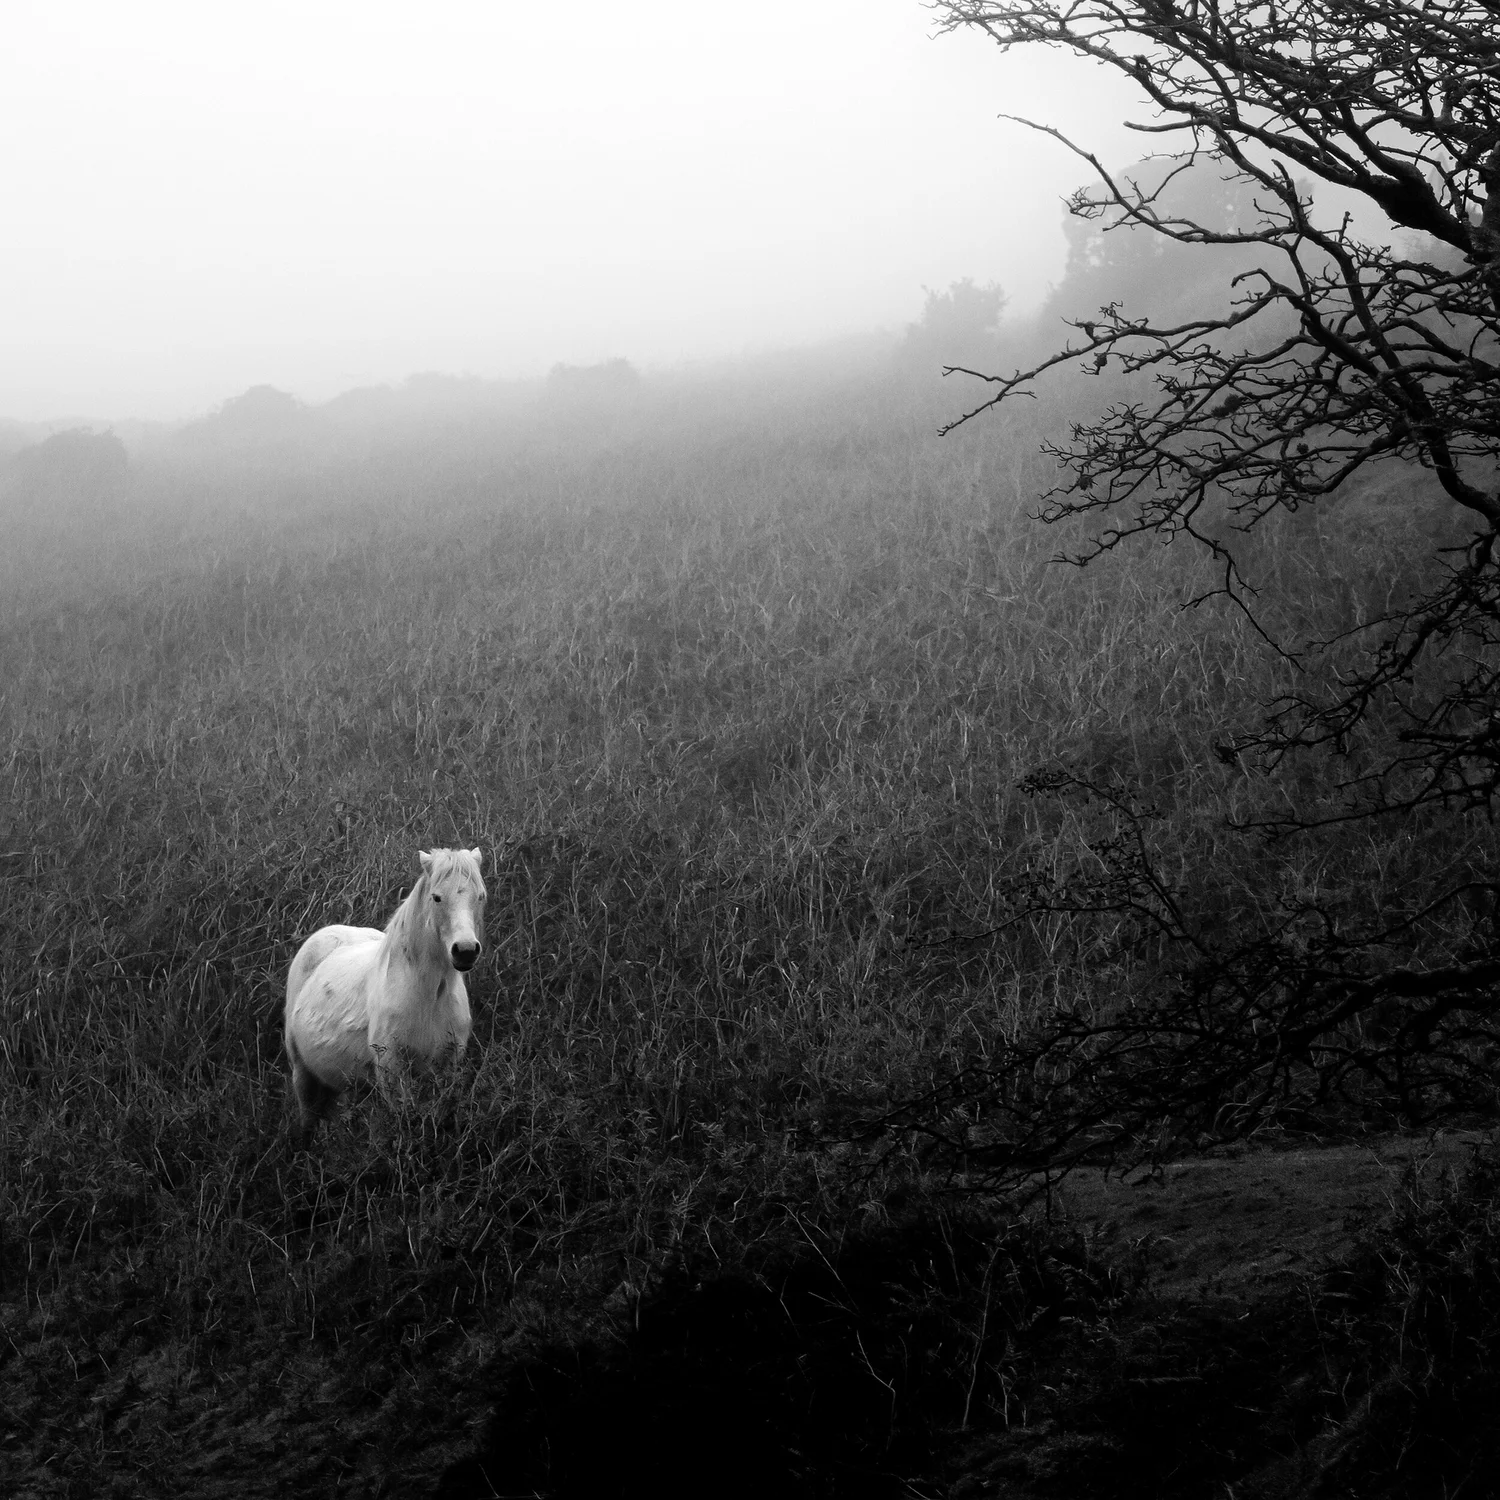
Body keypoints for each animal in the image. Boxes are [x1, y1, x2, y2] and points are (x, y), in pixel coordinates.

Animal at [283, 846, 486, 1146]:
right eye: (437, 897)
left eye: (480, 896)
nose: (466, 950)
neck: (428, 997)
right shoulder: (391, 1068)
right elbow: (406, 1119)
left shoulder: (448, 1064)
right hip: (302, 1074)